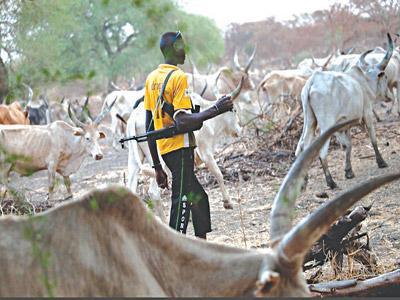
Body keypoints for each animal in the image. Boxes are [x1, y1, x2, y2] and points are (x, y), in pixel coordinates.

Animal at [294, 34, 394, 189]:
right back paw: (331, 182)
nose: (388, 96)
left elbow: (348, 145)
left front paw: (348, 171)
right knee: (322, 152)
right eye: (385, 77)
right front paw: (381, 162)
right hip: (325, 124)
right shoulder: (367, 113)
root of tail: (313, 81)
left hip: (310, 121)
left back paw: (303, 182)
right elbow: (373, 138)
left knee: (301, 147)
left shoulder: (341, 127)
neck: (362, 81)